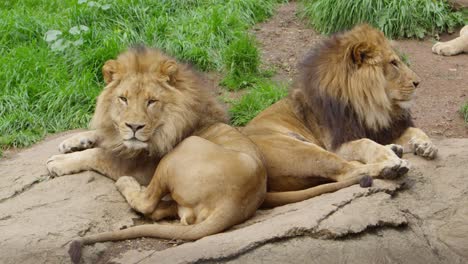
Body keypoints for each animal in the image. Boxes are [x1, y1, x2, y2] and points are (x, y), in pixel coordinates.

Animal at [48, 47, 268, 262]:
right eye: (123, 99)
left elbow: (97, 154)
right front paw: (71, 142)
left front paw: (59, 162)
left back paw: (127, 183)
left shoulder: (137, 165)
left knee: (146, 203)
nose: (134, 126)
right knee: (158, 212)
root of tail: (232, 205)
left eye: (151, 101)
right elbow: (104, 135)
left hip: (182, 150)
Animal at [241, 23, 438, 207]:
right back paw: (391, 166)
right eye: (393, 63)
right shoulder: (336, 145)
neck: (368, 107)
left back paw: (394, 150)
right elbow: (365, 143)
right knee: (347, 171)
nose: (418, 82)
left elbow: (414, 131)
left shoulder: (383, 129)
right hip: (302, 150)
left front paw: (426, 145)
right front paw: (388, 156)